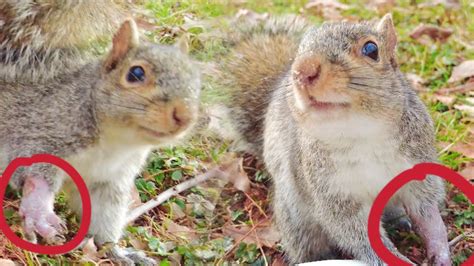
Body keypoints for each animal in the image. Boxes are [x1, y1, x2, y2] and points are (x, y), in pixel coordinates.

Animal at [0, 19, 201, 264]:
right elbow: (32, 169)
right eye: (135, 73)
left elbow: (104, 215)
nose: (185, 116)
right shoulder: (38, 131)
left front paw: (115, 251)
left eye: (197, 81)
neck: (115, 142)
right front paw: (39, 212)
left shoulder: (110, 181)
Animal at [213, 14, 450, 264]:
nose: (302, 70)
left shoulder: (417, 163)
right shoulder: (331, 190)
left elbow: (426, 211)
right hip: (295, 218)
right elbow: (357, 232)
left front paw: (440, 249)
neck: (361, 133)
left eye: (371, 49)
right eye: (300, 50)